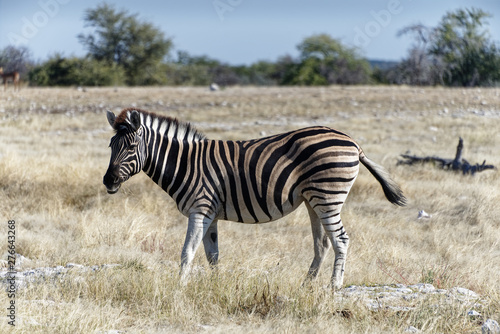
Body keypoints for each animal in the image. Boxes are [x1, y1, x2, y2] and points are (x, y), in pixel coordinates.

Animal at [103, 107, 404, 290]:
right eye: (110, 145)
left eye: (131, 146)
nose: (108, 181)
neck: (185, 163)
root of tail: (353, 142)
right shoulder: (210, 213)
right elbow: (212, 255)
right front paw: (216, 287)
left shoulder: (199, 209)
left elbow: (187, 252)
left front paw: (179, 288)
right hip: (314, 199)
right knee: (323, 243)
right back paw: (306, 286)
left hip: (328, 196)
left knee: (341, 239)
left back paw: (333, 287)